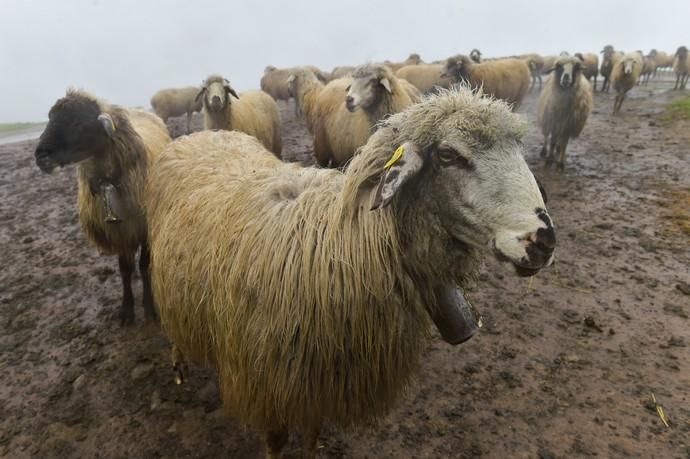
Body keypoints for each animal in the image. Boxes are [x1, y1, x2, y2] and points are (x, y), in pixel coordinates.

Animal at [33, 90, 171, 326]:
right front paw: (127, 309)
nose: (40, 155)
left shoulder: (143, 229)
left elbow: (144, 265)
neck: (108, 182)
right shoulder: (119, 231)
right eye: (50, 117)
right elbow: (124, 269)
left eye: (78, 123)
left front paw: (149, 307)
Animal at [145, 87, 552, 459]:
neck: (341, 244)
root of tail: (202, 135)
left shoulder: (322, 384)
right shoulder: (268, 384)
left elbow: (312, 434)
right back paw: (178, 367)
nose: (545, 240)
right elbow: (276, 441)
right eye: (448, 155)